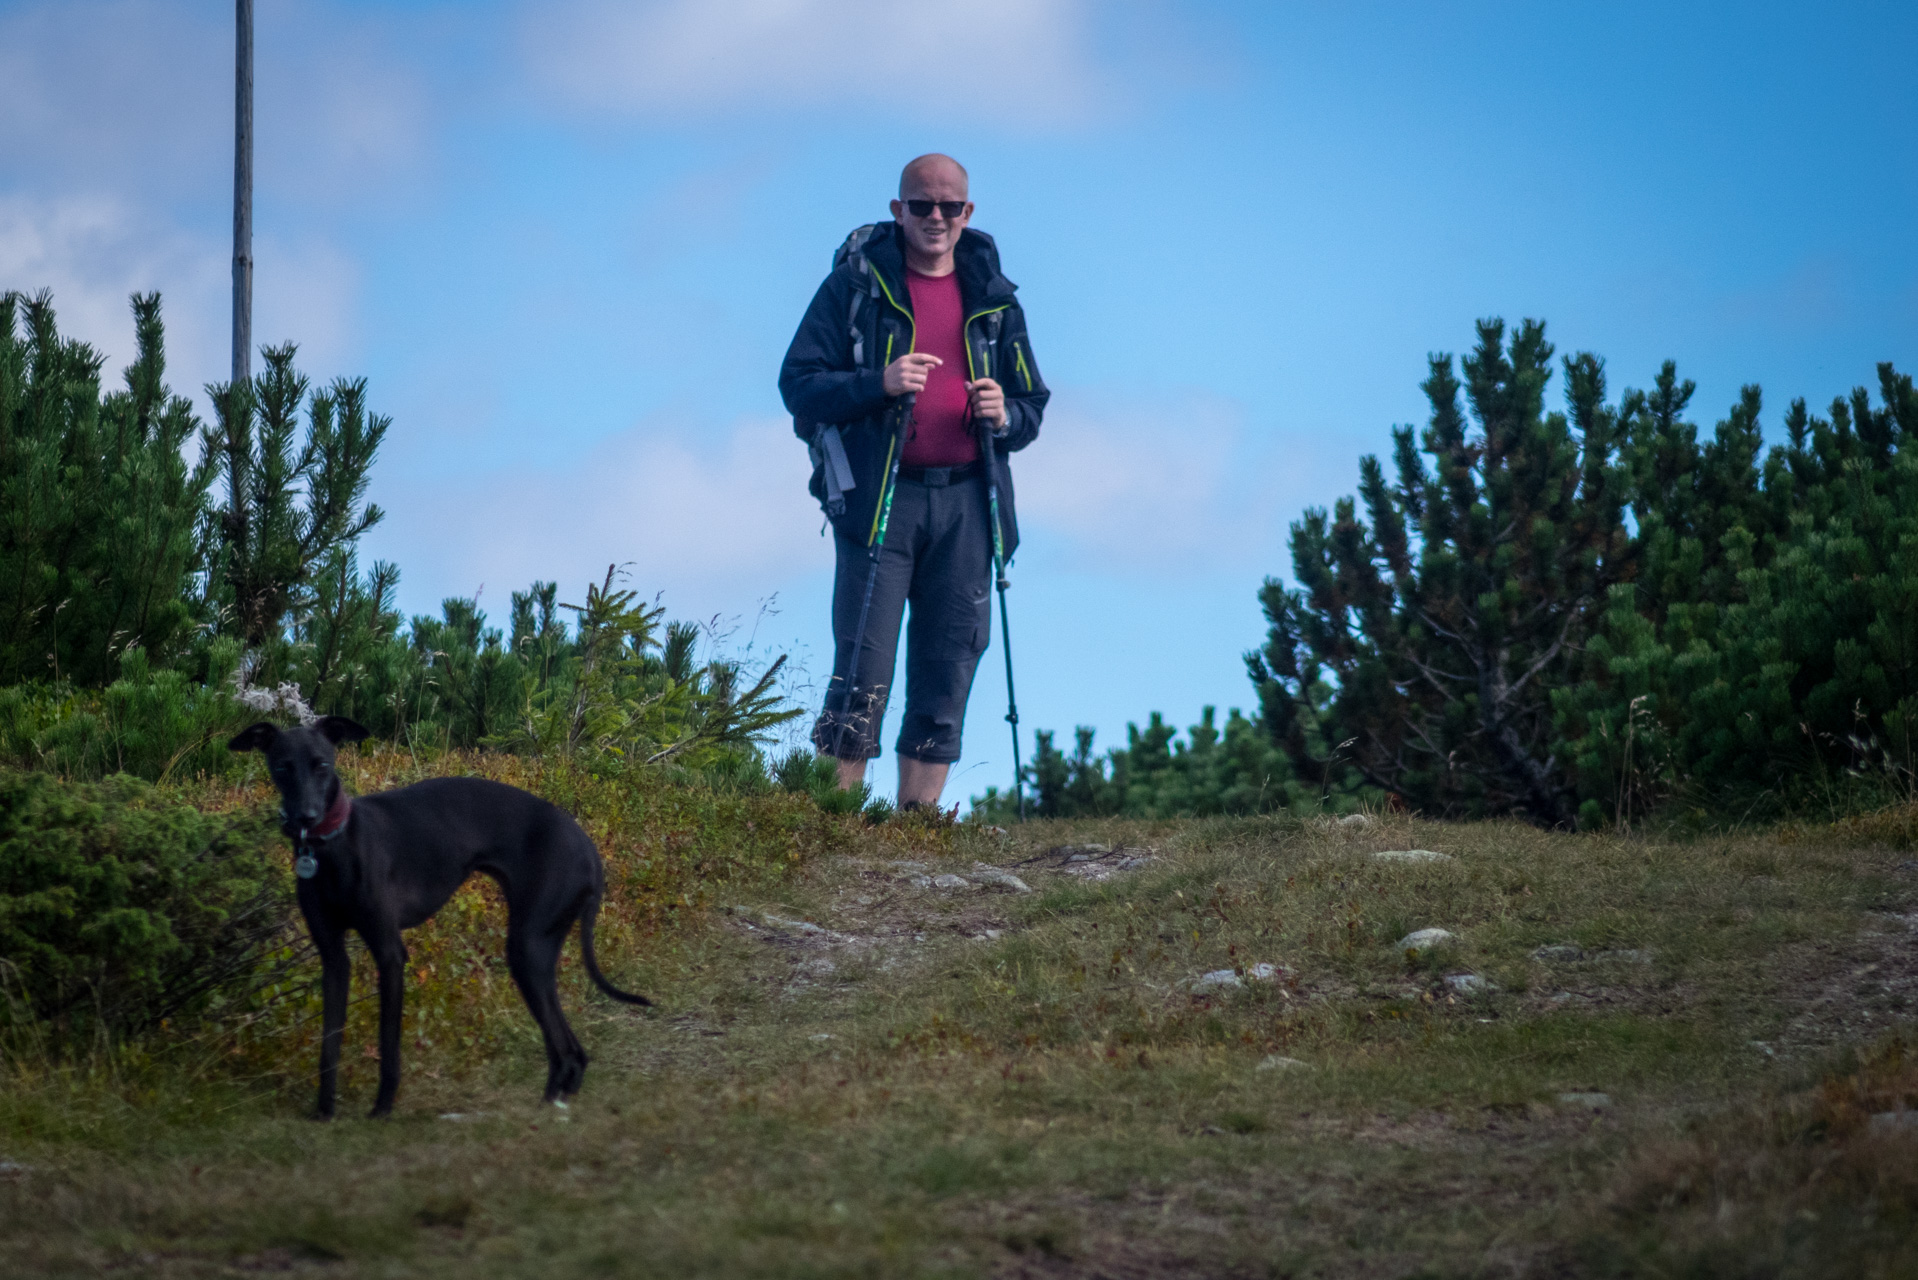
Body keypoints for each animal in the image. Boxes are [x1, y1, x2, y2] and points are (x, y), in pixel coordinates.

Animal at [230, 721, 652, 1120]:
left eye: (322, 765)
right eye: (282, 767)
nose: (306, 817)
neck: (337, 844)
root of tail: (589, 848)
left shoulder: (389, 953)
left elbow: (388, 1041)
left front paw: (382, 1109)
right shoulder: (333, 958)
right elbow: (329, 1043)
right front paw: (324, 1112)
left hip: (529, 949)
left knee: (565, 1049)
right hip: (535, 954)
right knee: (569, 1051)